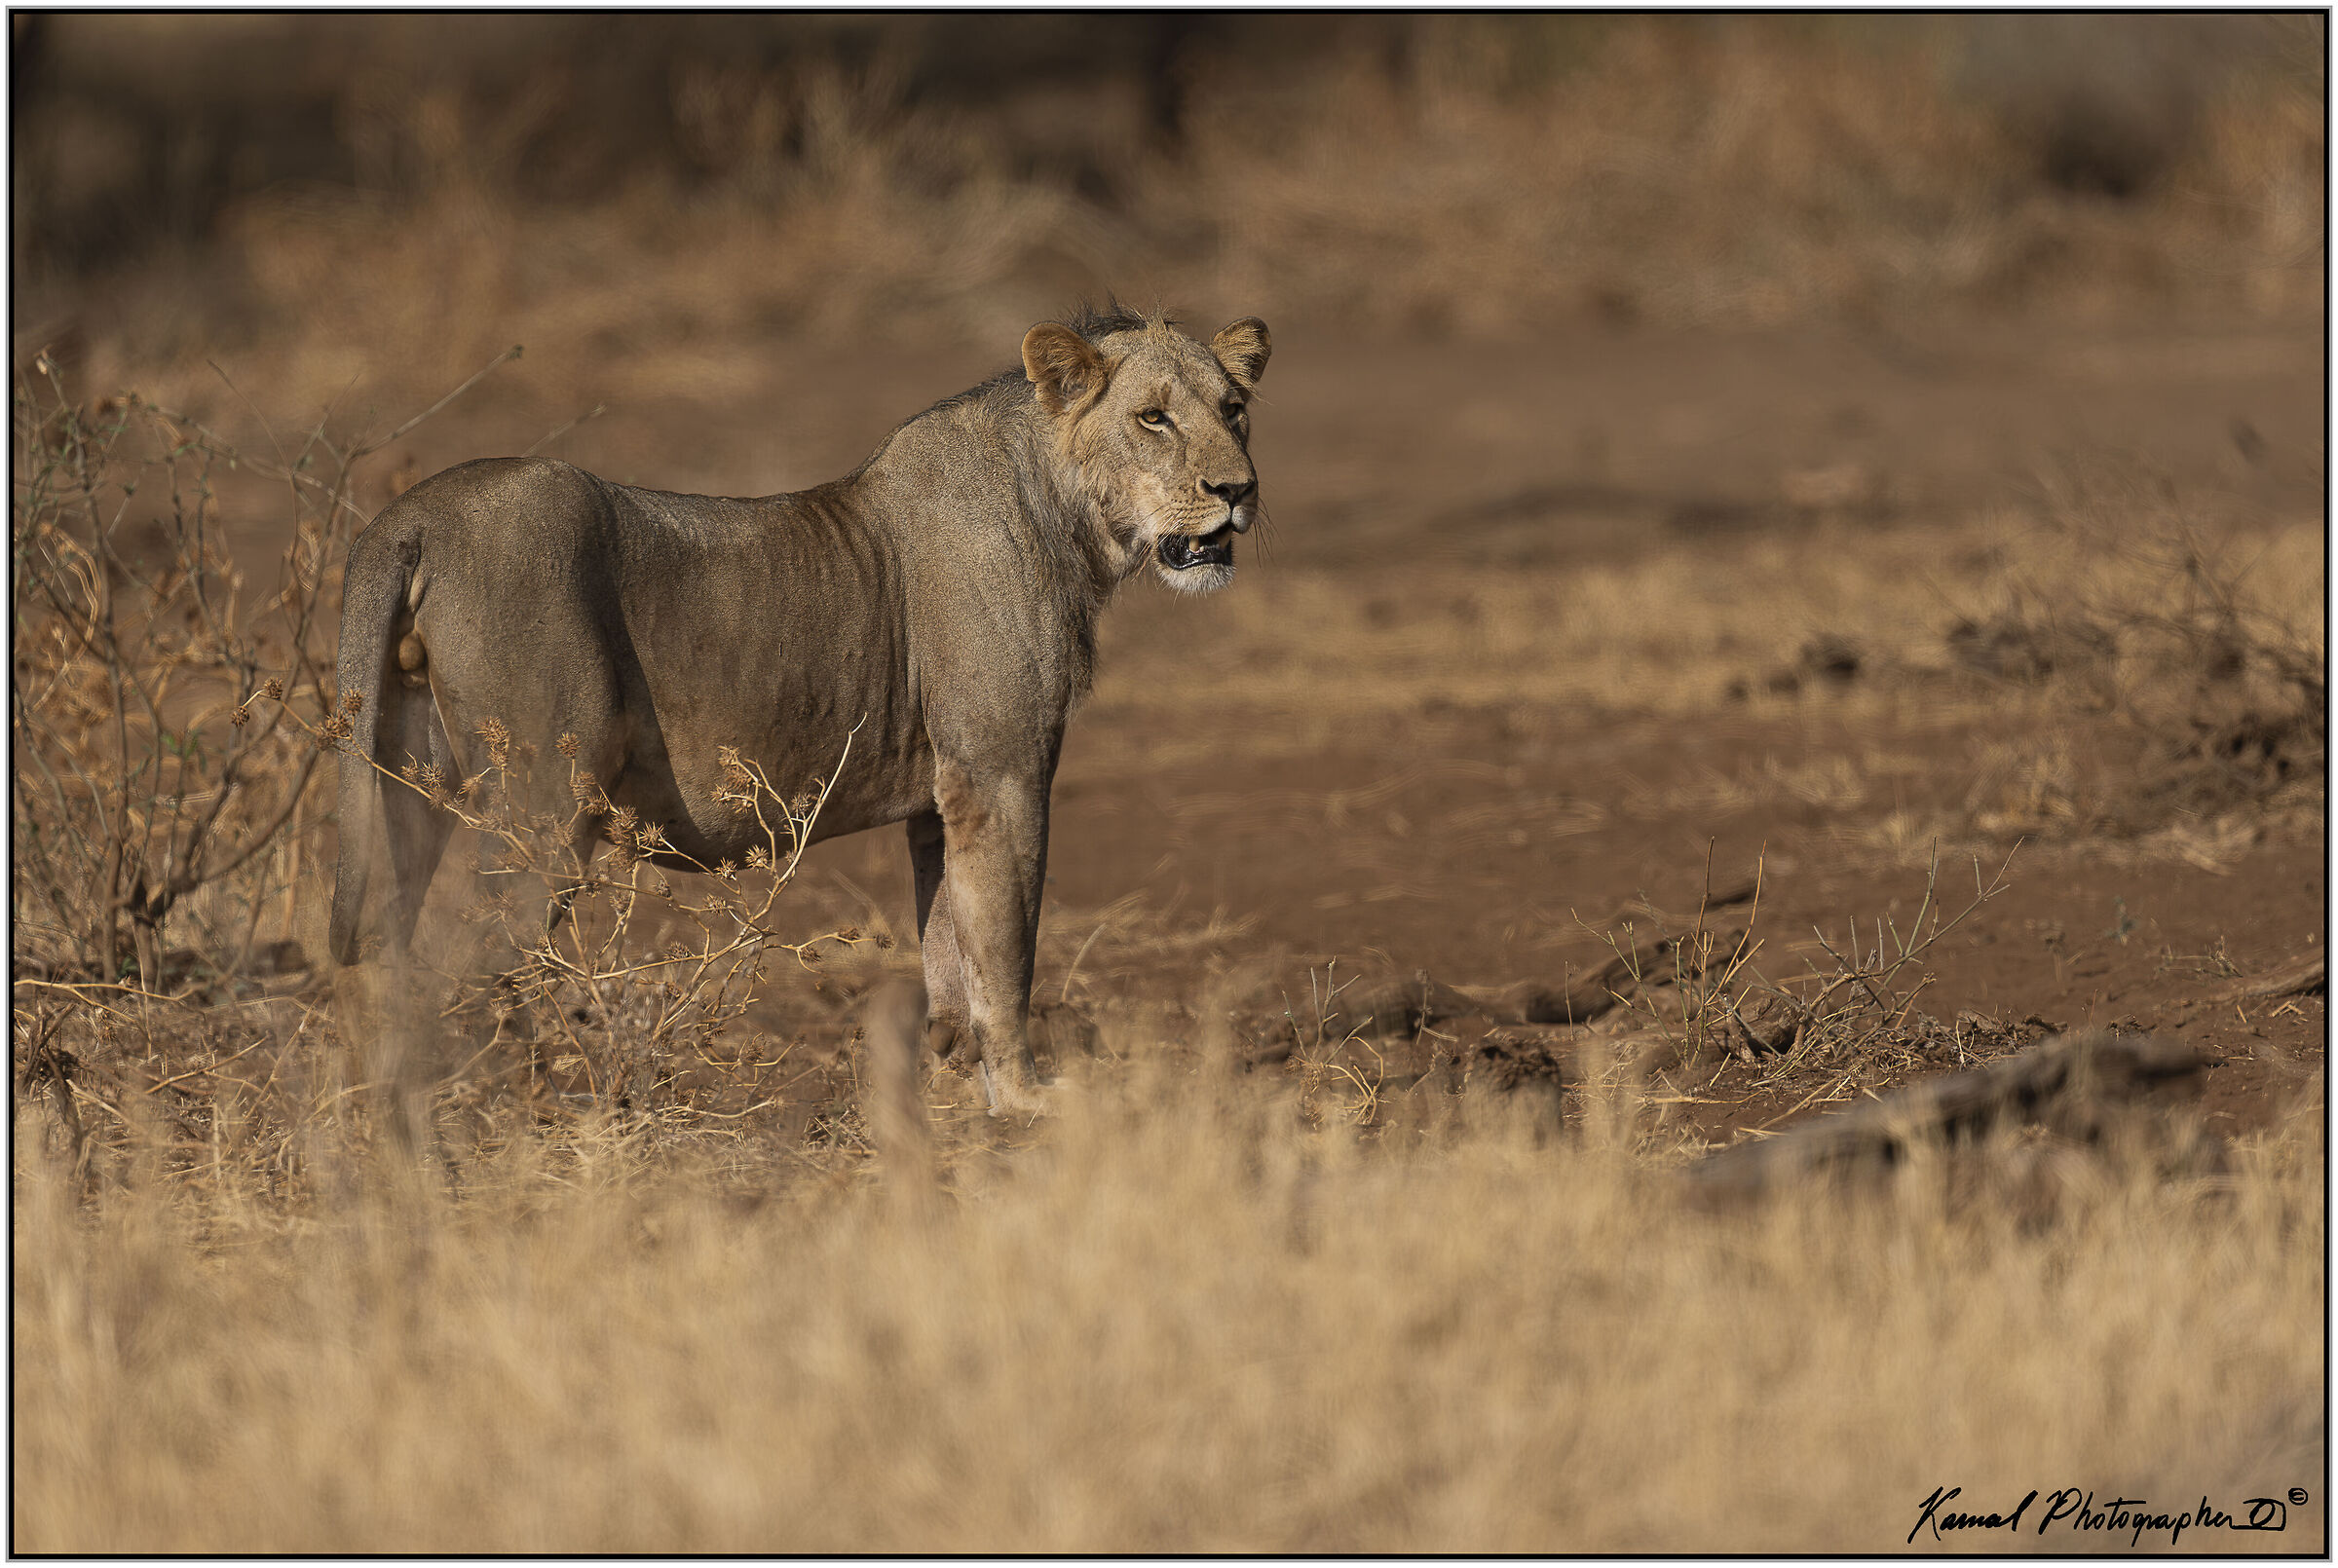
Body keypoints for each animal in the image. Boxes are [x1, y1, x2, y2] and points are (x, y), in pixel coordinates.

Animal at [329, 303, 1270, 1114]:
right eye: (1153, 418)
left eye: (1234, 410)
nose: (1239, 490)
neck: (1068, 517)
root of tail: (409, 515)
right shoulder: (1001, 772)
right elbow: (1008, 949)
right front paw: (1028, 1099)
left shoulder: (942, 800)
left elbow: (948, 950)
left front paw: (953, 1091)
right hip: (545, 806)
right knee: (456, 970)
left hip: (413, 789)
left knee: (392, 953)